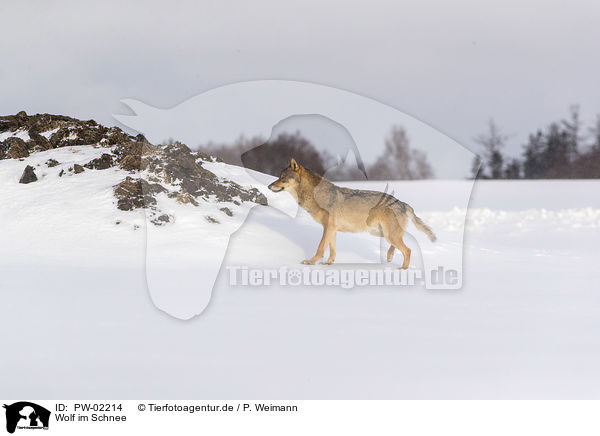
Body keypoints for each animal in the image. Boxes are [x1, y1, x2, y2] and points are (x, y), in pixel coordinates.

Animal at [268, 159, 436, 270]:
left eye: (282, 178)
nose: (269, 186)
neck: (315, 195)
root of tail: (402, 202)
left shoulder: (328, 227)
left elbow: (320, 248)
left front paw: (311, 262)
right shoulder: (332, 229)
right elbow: (332, 249)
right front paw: (328, 263)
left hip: (388, 234)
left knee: (408, 250)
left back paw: (402, 269)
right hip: (383, 233)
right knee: (398, 247)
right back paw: (389, 257)